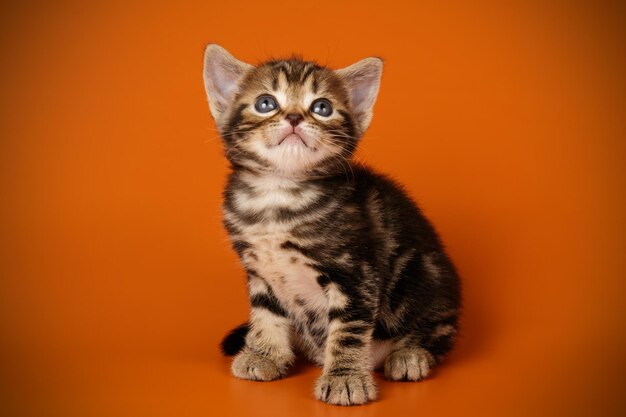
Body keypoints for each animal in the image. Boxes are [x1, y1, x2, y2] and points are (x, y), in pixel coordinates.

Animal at [202, 44, 460, 404]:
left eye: (321, 107)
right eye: (266, 103)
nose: (294, 117)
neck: (279, 194)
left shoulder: (355, 273)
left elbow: (348, 330)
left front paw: (345, 378)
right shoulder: (260, 270)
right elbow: (266, 313)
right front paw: (265, 354)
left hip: (426, 283)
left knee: (434, 330)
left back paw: (410, 354)